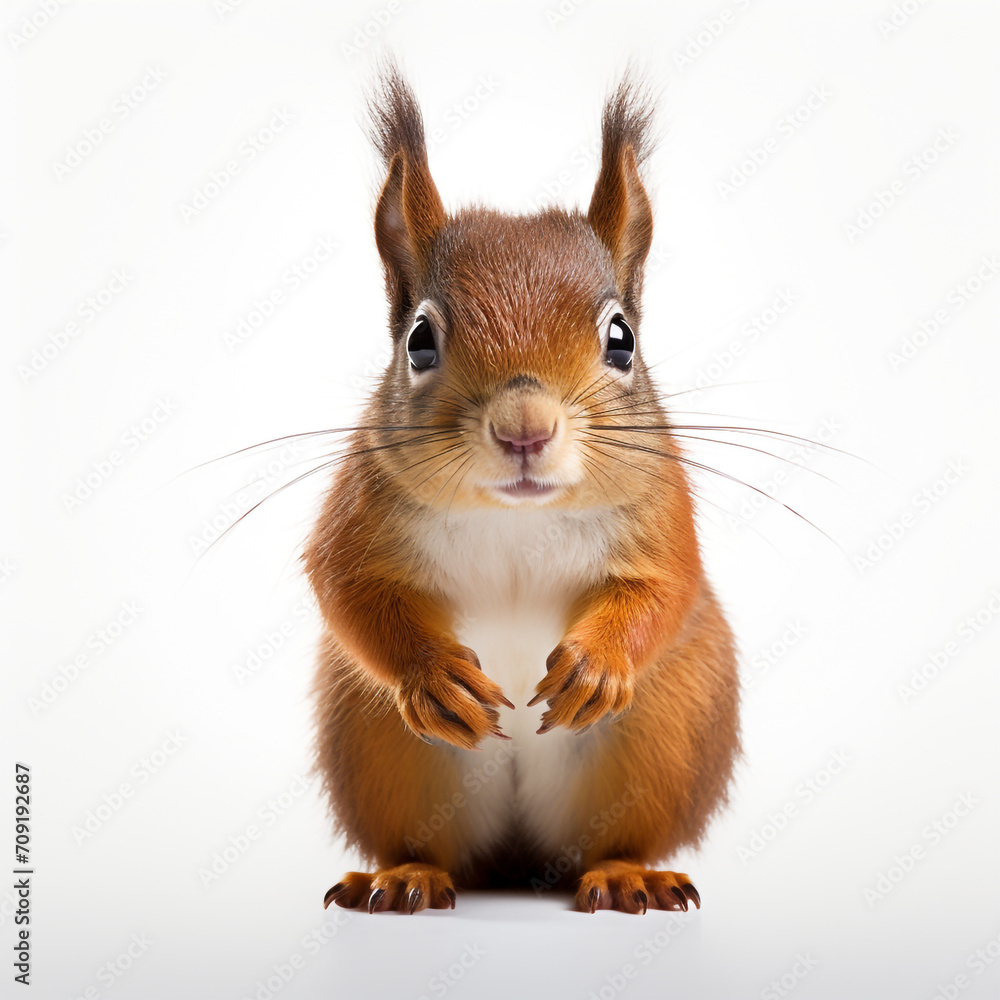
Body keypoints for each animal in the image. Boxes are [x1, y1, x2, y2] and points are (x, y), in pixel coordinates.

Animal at [305, 63, 740, 915]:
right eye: (420, 340)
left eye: (621, 339)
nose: (524, 431)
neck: (514, 517)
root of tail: (518, 861)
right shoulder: (358, 504)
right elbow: (345, 585)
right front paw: (433, 676)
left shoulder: (662, 509)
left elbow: (667, 587)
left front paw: (597, 666)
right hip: (383, 752)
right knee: (430, 844)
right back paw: (405, 876)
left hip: (663, 738)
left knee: (614, 838)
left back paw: (626, 875)